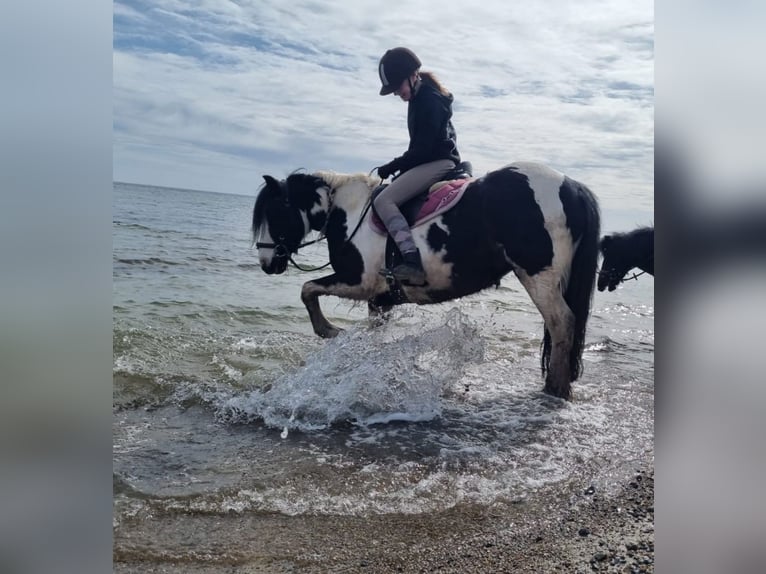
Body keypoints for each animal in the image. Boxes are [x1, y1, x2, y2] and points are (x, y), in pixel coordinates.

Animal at [255, 160, 604, 398]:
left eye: (274, 212)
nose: (266, 263)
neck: (350, 212)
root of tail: (571, 186)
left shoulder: (358, 281)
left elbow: (307, 289)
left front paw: (328, 330)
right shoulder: (380, 299)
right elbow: (373, 336)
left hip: (538, 276)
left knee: (561, 322)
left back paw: (555, 388)